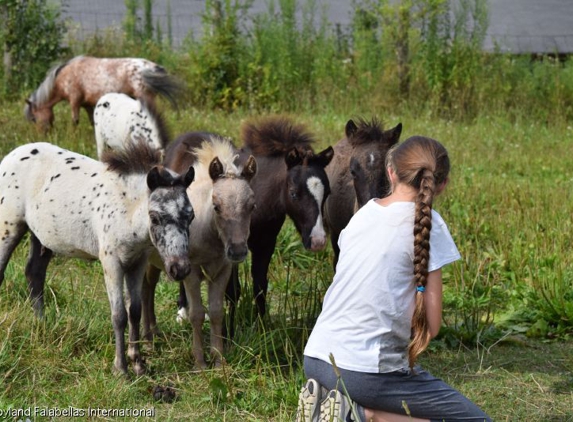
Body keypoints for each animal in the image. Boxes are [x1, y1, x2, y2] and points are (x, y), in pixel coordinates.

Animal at [0, 142, 194, 376]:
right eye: (155, 217)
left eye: (191, 217)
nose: (179, 268)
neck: (125, 207)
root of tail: (11, 155)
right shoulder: (112, 263)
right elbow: (119, 315)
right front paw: (121, 369)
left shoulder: (137, 263)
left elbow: (135, 311)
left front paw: (138, 363)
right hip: (9, 227)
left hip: (40, 236)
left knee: (34, 273)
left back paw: (42, 325)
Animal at [142, 134, 256, 368]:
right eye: (216, 206)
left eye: (252, 206)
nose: (237, 251)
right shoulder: (191, 272)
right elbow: (196, 313)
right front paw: (200, 363)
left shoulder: (222, 271)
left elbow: (216, 311)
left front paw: (219, 360)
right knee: (144, 290)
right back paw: (148, 341)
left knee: (149, 288)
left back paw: (155, 333)